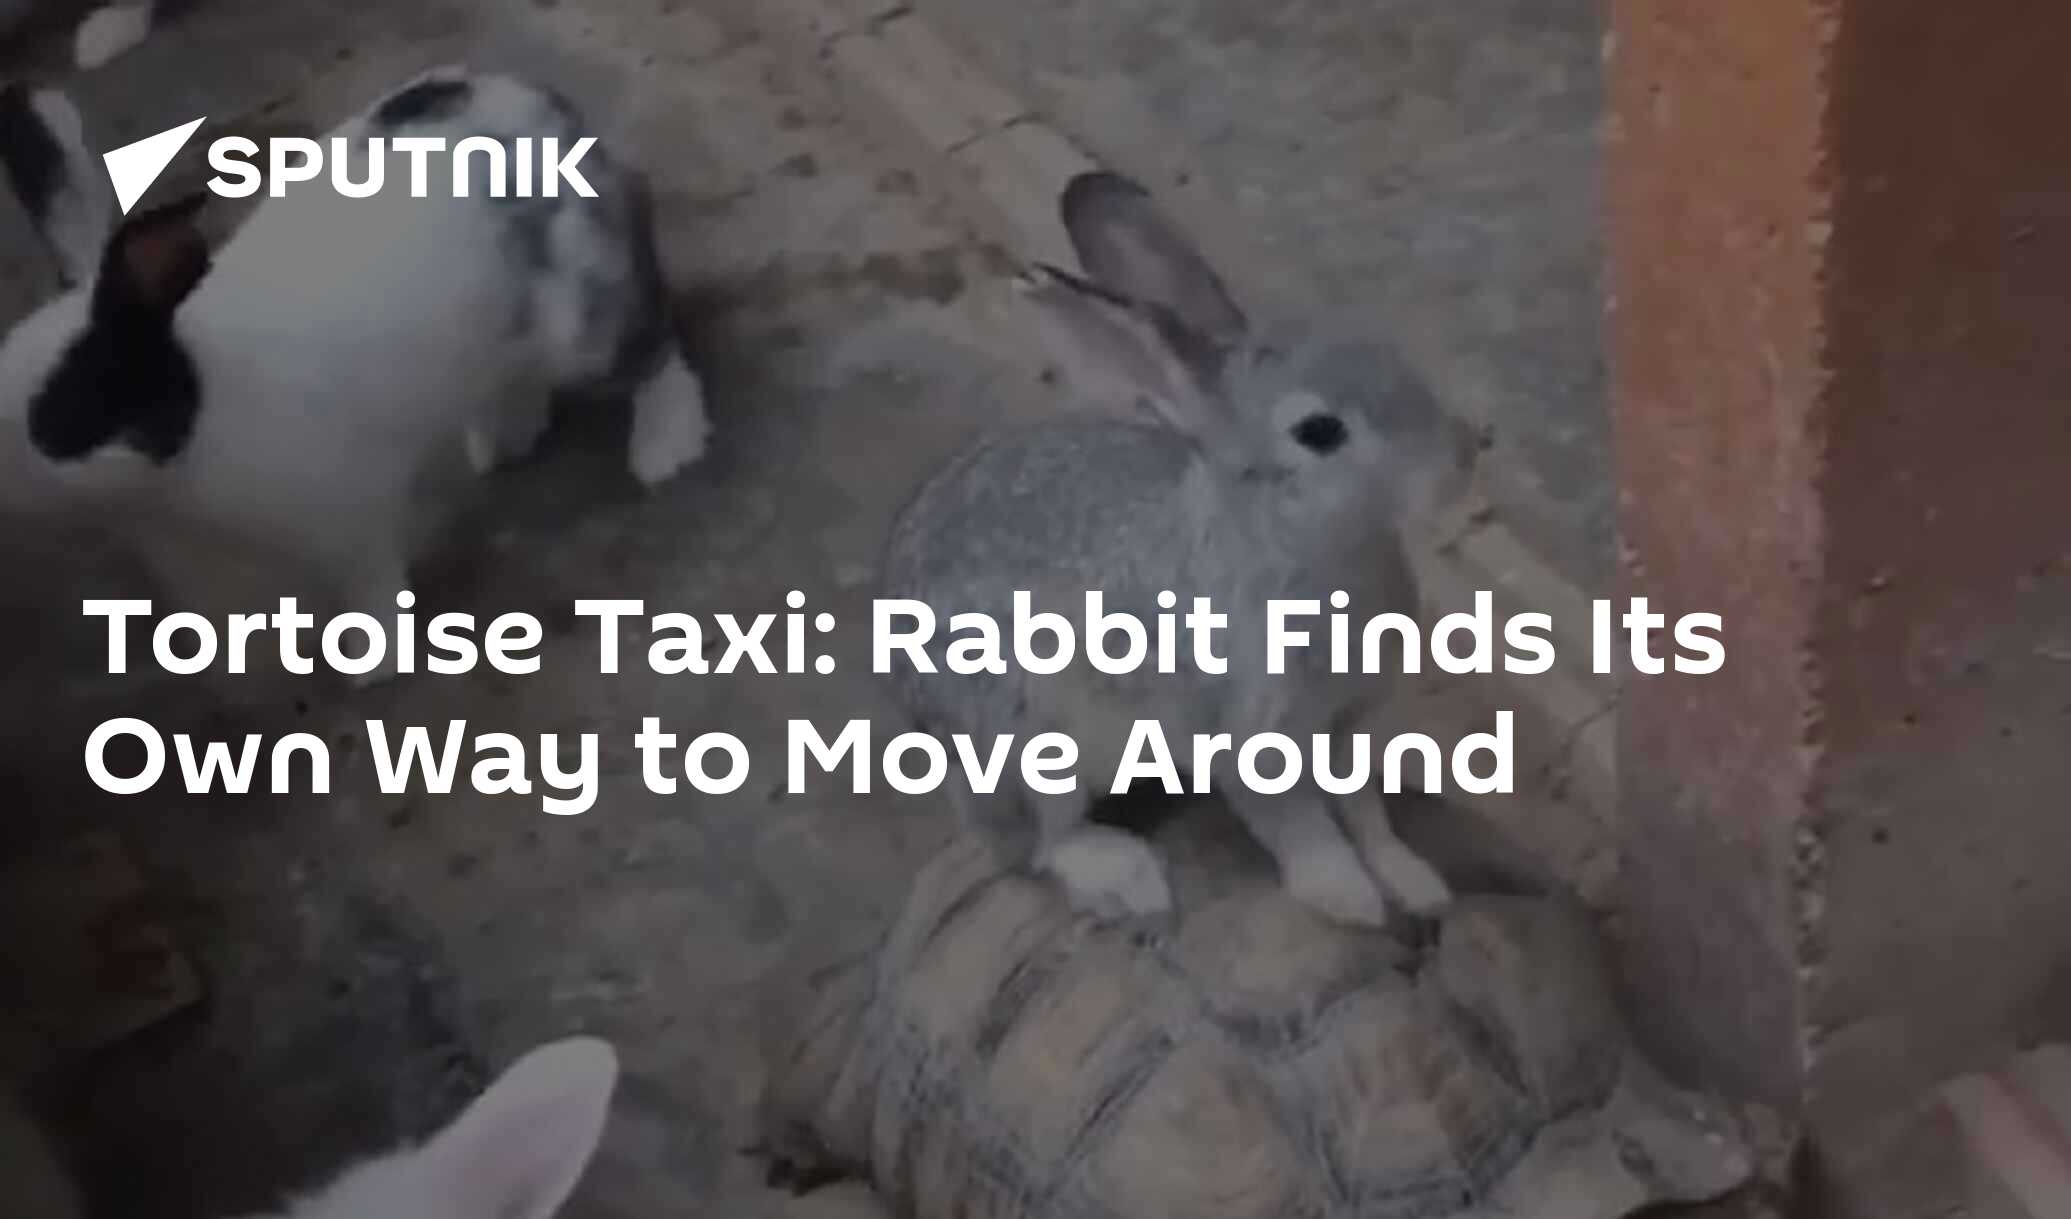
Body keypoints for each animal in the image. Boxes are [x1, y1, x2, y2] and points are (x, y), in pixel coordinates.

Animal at [0, 70, 708, 637]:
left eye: (70, 405)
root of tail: (543, 106)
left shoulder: (348, 521)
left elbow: (370, 589)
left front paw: (370, 661)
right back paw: (503, 442)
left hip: (587, 319)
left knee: (653, 355)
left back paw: (666, 450)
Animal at [882, 171, 1476, 928]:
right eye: (1319, 431)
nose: (1462, 456)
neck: (1298, 546)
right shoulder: (1250, 735)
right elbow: (1302, 828)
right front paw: (1349, 899)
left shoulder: (1350, 723)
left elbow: (1365, 811)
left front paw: (1415, 882)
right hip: (1023, 739)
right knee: (1038, 846)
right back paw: (1126, 877)